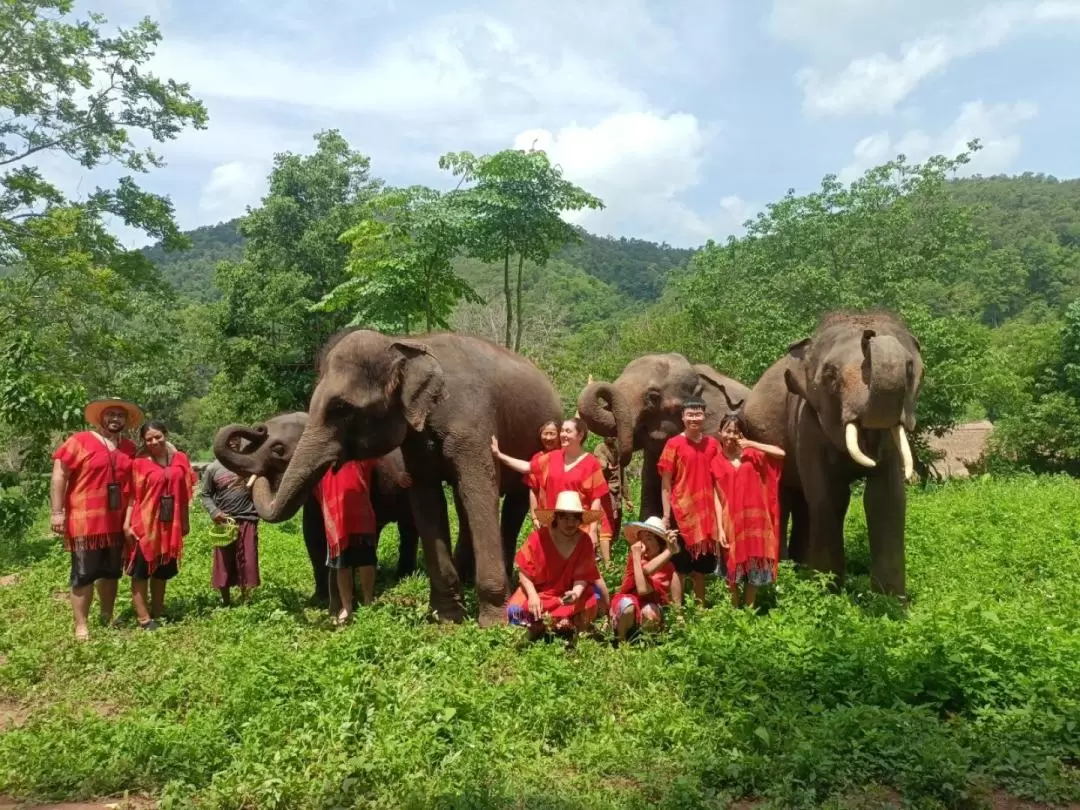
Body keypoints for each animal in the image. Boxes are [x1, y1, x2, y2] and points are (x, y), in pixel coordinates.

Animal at [213, 412, 421, 604]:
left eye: (278, 450)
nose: (259, 427)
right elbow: (312, 536)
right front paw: (318, 600)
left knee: (408, 529)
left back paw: (402, 576)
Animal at [738, 311, 924, 596]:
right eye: (830, 374)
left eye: (910, 368)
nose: (869, 332)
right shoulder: (807, 423)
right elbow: (831, 496)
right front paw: (829, 592)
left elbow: (886, 497)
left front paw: (890, 600)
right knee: (784, 498)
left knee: (802, 501)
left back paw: (800, 567)